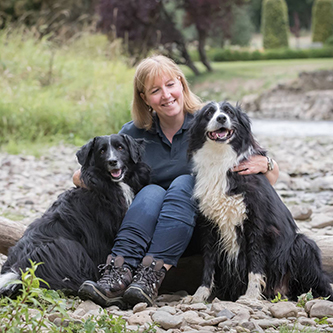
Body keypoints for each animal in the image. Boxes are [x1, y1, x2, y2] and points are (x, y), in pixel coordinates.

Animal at [0, 133, 149, 296]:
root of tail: (16, 273)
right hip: (64, 246)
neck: (112, 184)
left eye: (120, 147)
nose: (112, 161)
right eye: (102, 151)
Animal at [187, 102, 332, 304]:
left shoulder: (257, 224)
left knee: (322, 284)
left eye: (229, 112)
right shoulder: (209, 225)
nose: (221, 118)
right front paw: (200, 294)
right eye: (209, 113)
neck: (221, 160)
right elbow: (208, 263)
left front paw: (251, 296)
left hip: (302, 244)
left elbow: (255, 263)